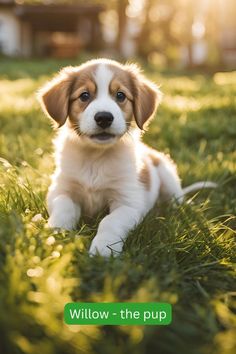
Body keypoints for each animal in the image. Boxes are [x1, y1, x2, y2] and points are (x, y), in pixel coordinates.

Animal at [38, 58, 216, 258]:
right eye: (84, 96)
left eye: (120, 95)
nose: (104, 117)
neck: (96, 157)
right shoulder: (61, 190)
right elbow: (64, 207)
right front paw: (56, 234)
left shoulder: (128, 203)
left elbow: (109, 221)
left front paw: (103, 249)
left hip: (168, 178)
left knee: (177, 202)